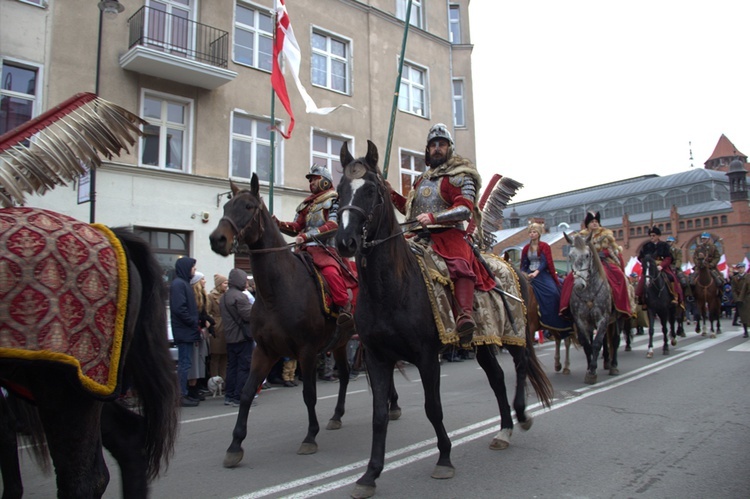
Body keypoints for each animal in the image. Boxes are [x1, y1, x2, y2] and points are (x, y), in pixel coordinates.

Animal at [334, 141, 552, 499]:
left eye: (370, 190)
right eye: (339, 190)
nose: (345, 242)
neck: (391, 288)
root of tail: (511, 266)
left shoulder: (427, 356)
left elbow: (432, 408)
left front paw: (444, 459)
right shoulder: (378, 359)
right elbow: (379, 416)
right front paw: (370, 474)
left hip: (516, 333)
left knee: (520, 368)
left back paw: (520, 416)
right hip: (483, 342)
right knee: (496, 378)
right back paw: (503, 429)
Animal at [564, 232, 624, 384]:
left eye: (587, 255)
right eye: (570, 256)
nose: (579, 285)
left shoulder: (603, 318)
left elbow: (597, 344)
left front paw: (592, 372)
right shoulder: (581, 321)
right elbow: (587, 344)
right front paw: (589, 368)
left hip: (618, 318)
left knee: (615, 339)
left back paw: (613, 366)